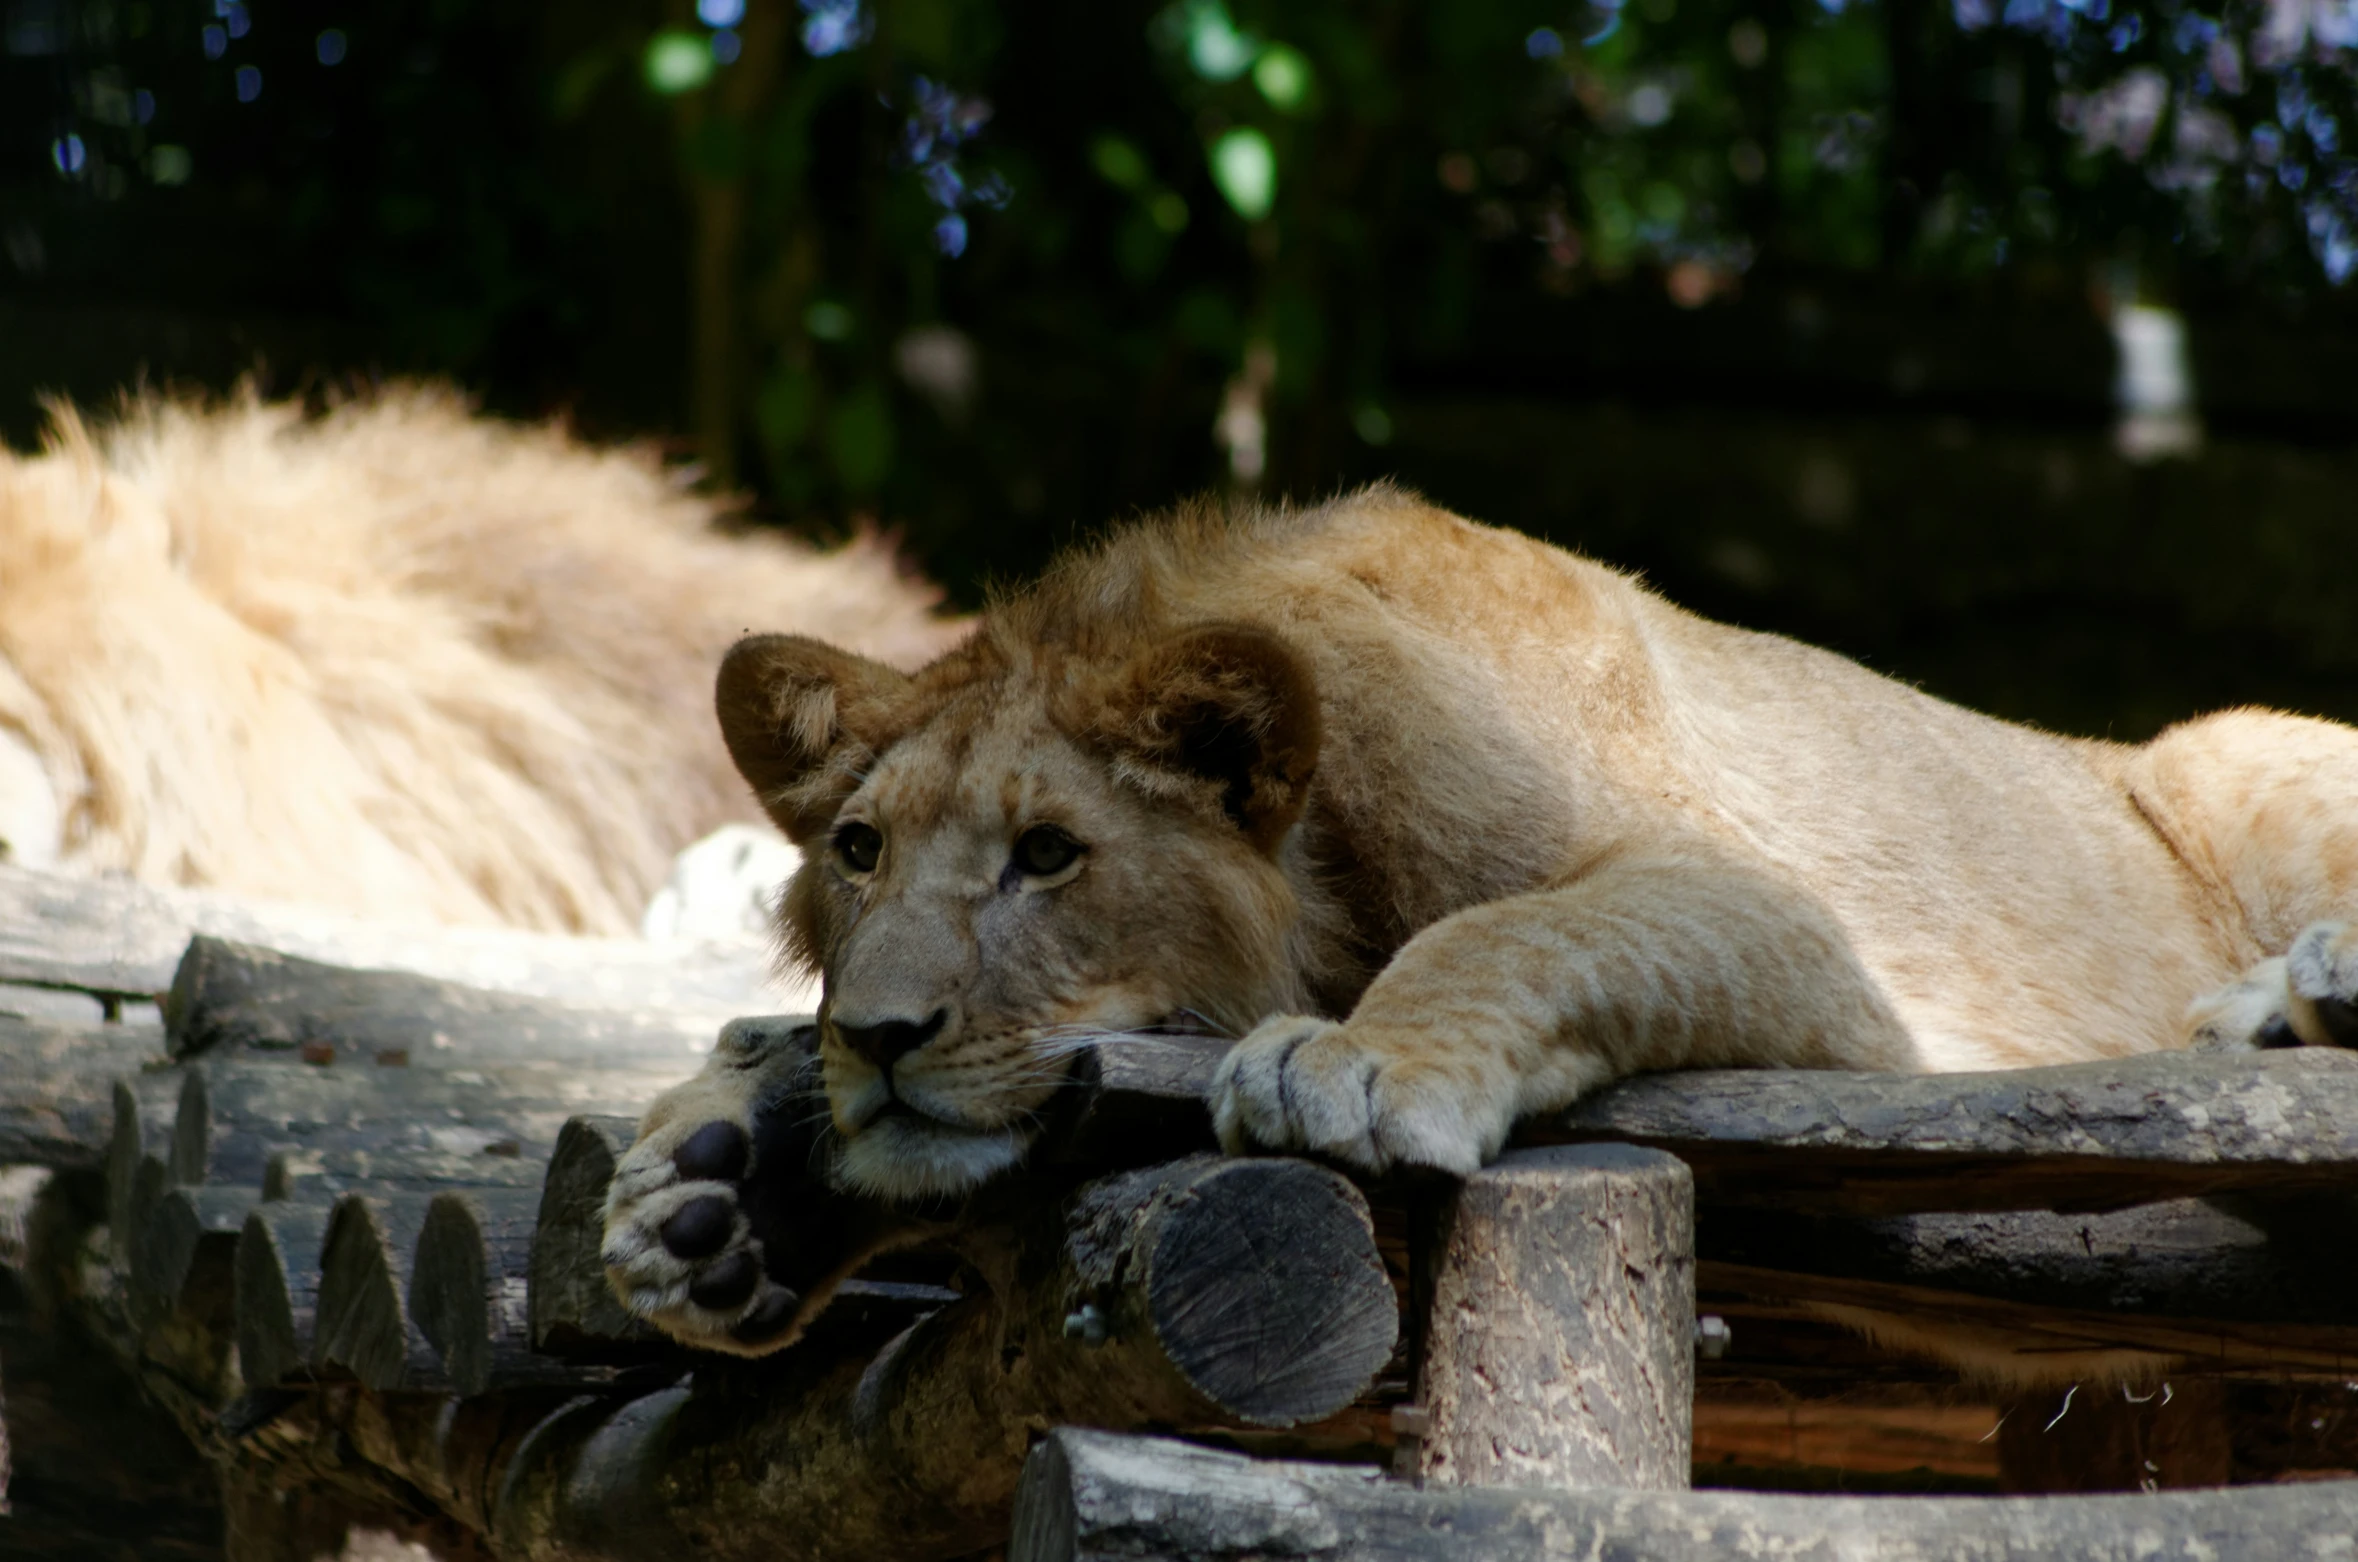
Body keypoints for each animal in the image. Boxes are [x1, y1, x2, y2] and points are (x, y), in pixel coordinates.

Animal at [594, 490, 2358, 1368]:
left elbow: (1501, 932)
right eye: (858, 852)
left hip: (2229, 751)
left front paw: (1360, 1061)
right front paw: (710, 1179)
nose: (886, 1038)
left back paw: (2288, 995)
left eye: (1047, 855)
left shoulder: (1790, 929)